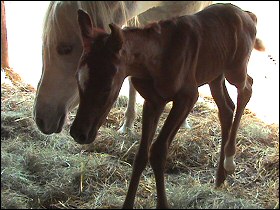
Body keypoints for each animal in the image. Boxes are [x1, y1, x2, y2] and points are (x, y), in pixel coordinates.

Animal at [69, 3, 264, 208]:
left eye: (107, 87)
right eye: (77, 79)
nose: (79, 133)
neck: (155, 59)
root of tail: (249, 15)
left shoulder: (188, 97)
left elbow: (158, 150)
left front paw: (162, 203)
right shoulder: (153, 101)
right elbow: (141, 154)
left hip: (235, 69)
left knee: (247, 88)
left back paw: (230, 160)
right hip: (214, 75)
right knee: (226, 109)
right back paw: (220, 177)